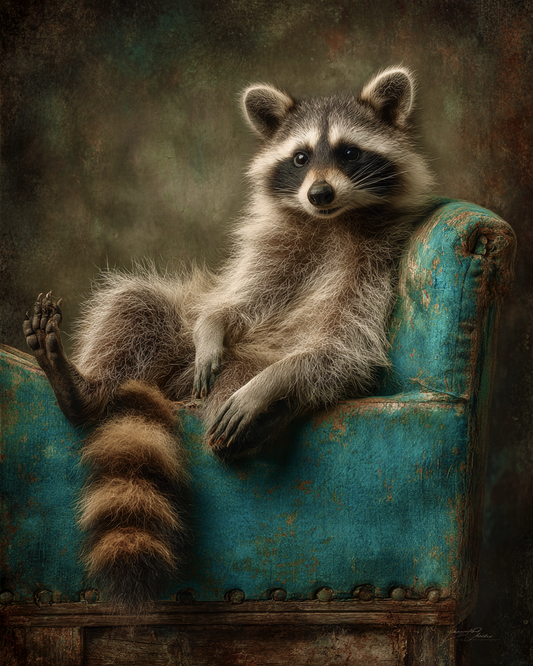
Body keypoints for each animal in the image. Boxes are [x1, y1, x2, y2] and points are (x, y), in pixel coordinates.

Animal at [23, 66, 435, 609]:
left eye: (349, 152)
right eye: (300, 157)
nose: (319, 194)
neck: (329, 221)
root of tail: (170, 393)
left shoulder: (372, 272)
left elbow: (343, 350)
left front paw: (272, 386)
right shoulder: (272, 250)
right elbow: (235, 300)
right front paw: (214, 326)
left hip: (233, 378)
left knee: (286, 377)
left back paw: (266, 406)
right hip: (177, 358)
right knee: (136, 303)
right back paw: (83, 389)